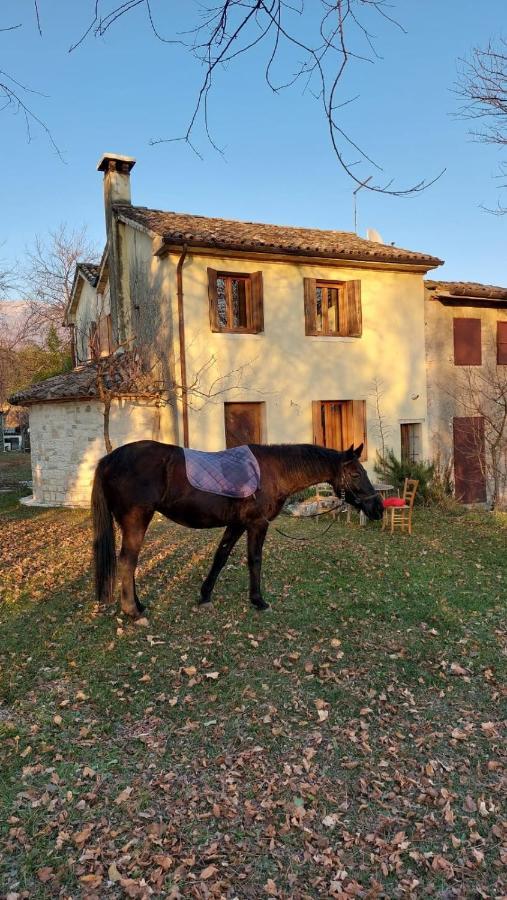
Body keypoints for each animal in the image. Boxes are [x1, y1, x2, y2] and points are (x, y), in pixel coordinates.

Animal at [92, 442, 384, 620]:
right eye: (356, 474)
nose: (378, 508)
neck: (275, 471)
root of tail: (109, 459)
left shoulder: (236, 524)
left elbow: (220, 558)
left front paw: (205, 595)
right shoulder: (257, 524)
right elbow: (254, 560)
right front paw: (258, 600)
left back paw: (139, 605)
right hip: (136, 520)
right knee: (128, 561)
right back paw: (133, 611)